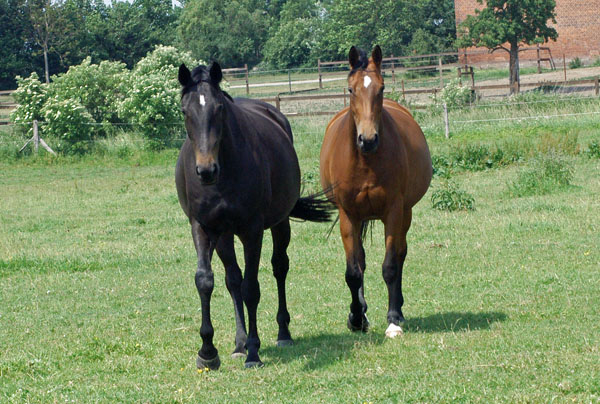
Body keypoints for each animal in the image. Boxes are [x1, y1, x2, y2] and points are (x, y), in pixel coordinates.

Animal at [173, 61, 332, 368]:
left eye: (219, 108)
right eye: (185, 111)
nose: (206, 170)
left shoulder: (252, 230)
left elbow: (251, 288)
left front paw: (254, 352)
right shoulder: (202, 226)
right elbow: (206, 281)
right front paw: (208, 352)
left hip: (280, 224)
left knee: (279, 267)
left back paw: (282, 333)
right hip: (224, 236)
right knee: (232, 280)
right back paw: (239, 343)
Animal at [318, 46, 432, 338]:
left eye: (381, 88)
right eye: (350, 90)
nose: (367, 140)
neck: (366, 162)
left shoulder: (393, 212)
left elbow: (390, 265)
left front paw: (392, 320)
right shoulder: (348, 215)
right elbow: (353, 271)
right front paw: (356, 317)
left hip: (406, 214)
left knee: (401, 254)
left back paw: (398, 311)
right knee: (361, 261)